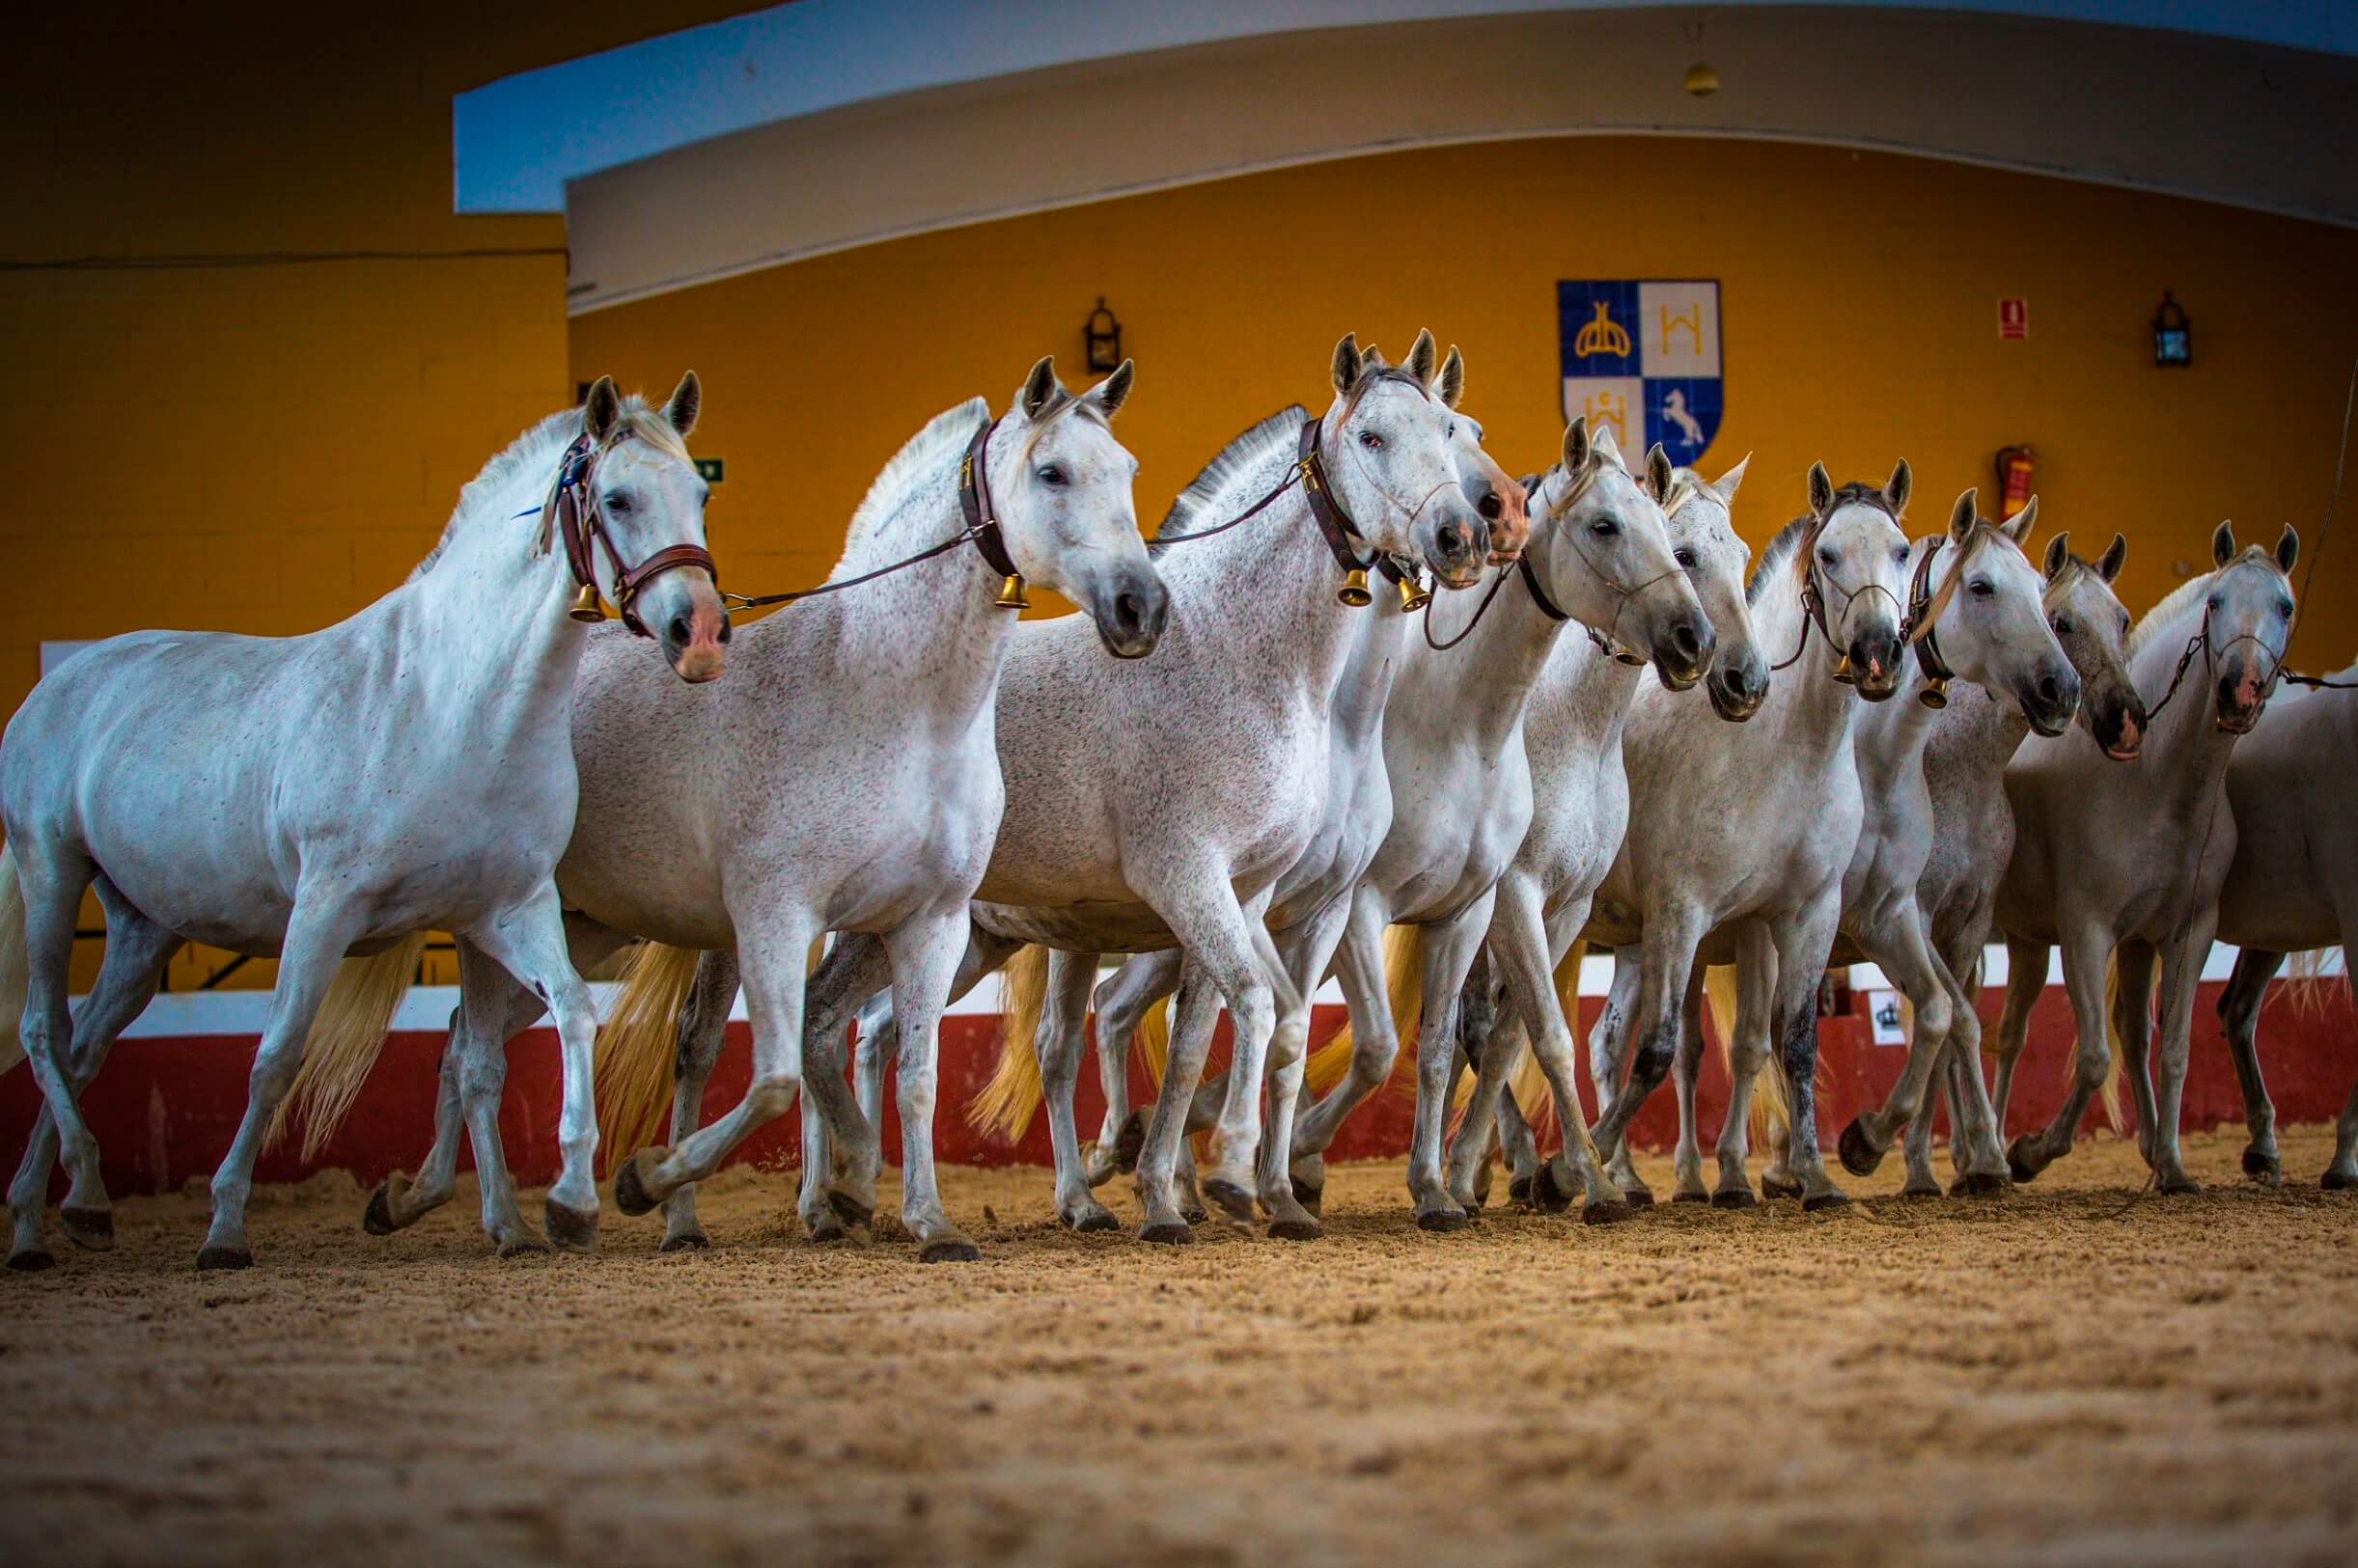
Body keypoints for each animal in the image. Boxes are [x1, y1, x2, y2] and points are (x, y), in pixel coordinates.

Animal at [0, 375, 723, 1270]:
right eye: (617, 499)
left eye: (699, 493)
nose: (700, 632)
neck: (450, 705)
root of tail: (59, 683)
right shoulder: (324, 909)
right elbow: (275, 1058)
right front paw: (225, 1227)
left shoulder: (509, 911)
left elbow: (563, 1017)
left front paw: (562, 1205)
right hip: (52, 872)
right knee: (44, 1030)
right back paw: (78, 1198)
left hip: (143, 930)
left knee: (83, 1048)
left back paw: (53, 1216)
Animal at [359, 356, 1162, 1262]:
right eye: (1051, 472)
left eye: (1126, 471)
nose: (1141, 607)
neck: (891, 705)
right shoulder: (778, 917)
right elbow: (779, 1075)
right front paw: (668, 1179)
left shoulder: (932, 920)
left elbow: (914, 1078)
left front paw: (928, 1220)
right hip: (505, 924)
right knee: (472, 1055)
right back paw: (514, 1217)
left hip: (581, 927)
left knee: (466, 1041)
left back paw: (414, 1198)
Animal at [634, 330, 1496, 1247]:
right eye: (1371, 436)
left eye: (1448, 429)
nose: (1461, 536)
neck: (1238, 658)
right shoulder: (1188, 879)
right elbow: (1257, 1008)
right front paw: (1223, 1173)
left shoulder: (1244, 894)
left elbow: (1204, 1038)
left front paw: (1172, 1191)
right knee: (731, 1038)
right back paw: (713, 1205)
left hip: (946, 932)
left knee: (838, 1027)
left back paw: (868, 1194)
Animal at [1580, 460, 1916, 1211]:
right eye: (1828, 555)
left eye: (1902, 550)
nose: (1878, 653)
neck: (1780, 750)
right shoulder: (1683, 913)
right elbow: (1661, 1049)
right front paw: (1588, 1151)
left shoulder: (1795, 914)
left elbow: (1784, 1044)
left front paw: (1811, 1174)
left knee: (1597, 1039)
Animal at [1991, 522, 2301, 1192]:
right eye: (2216, 603)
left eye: (2285, 607)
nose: (2239, 689)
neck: (2154, 788)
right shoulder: (2087, 930)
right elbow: (2094, 1058)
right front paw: (2034, 1151)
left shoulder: (2182, 931)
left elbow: (2170, 1048)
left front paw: (2173, 1165)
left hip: (2029, 941)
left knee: (2011, 1036)